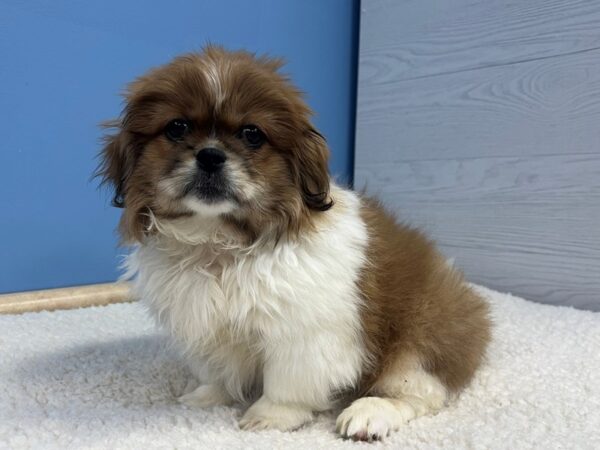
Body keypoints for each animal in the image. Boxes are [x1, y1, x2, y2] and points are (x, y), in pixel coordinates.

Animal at [98, 47, 490, 442]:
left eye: (252, 134)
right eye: (176, 128)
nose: (210, 155)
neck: (221, 243)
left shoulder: (304, 336)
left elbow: (288, 384)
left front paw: (269, 417)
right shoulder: (205, 325)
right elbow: (218, 372)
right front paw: (208, 396)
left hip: (422, 335)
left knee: (418, 393)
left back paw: (369, 413)